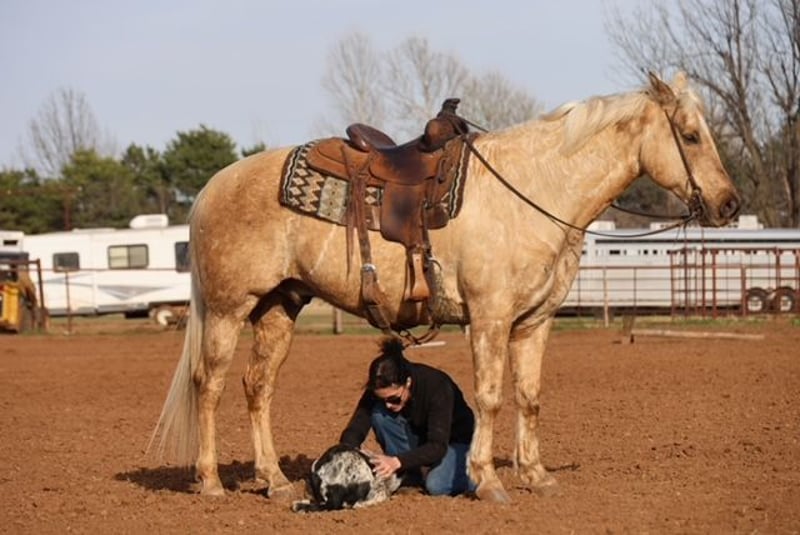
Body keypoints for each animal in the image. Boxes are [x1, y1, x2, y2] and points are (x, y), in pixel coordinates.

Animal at [151, 72, 740, 504]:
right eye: (690, 135)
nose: (729, 204)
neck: (533, 190)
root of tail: (212, 187)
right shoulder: (490, 317)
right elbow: (491, 396)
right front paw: (490, 480)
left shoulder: (534, 322)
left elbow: (529, 396)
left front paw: (537, 475)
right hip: (228, 310)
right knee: (210, 385)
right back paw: (210, 482)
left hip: (279, 307)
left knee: (258, 386)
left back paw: (273, 480)